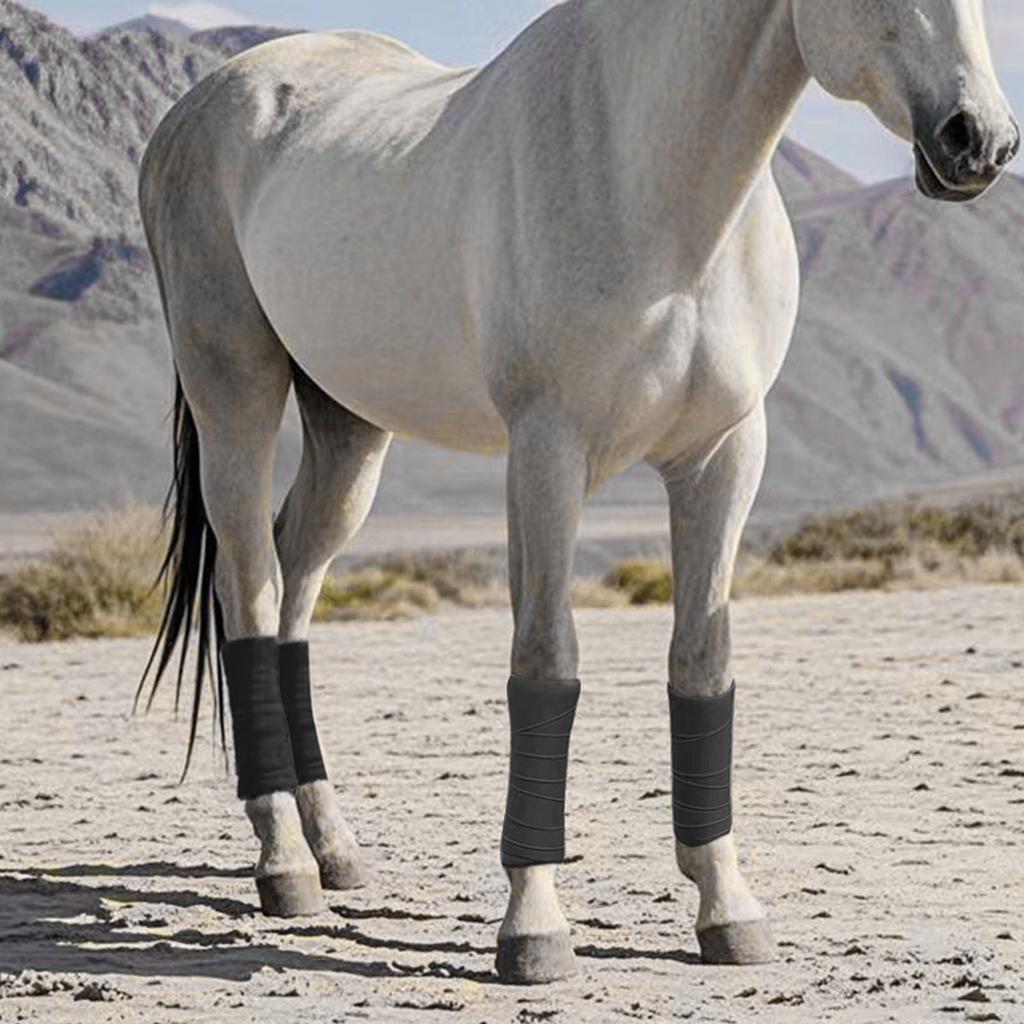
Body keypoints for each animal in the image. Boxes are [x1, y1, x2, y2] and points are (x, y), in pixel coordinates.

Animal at [138, 0, 1018, 985]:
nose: (979, 142)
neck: (658, 191)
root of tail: (191, 113)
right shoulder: (547, 453)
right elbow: (545, 665)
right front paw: (534, 927)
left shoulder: (724, 457)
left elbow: (701, 665)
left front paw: (727, 908)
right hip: (236, 397)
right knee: (249, 589)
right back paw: (283, 862)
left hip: (348, 426)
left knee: (295, 588)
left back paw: (335, 851)